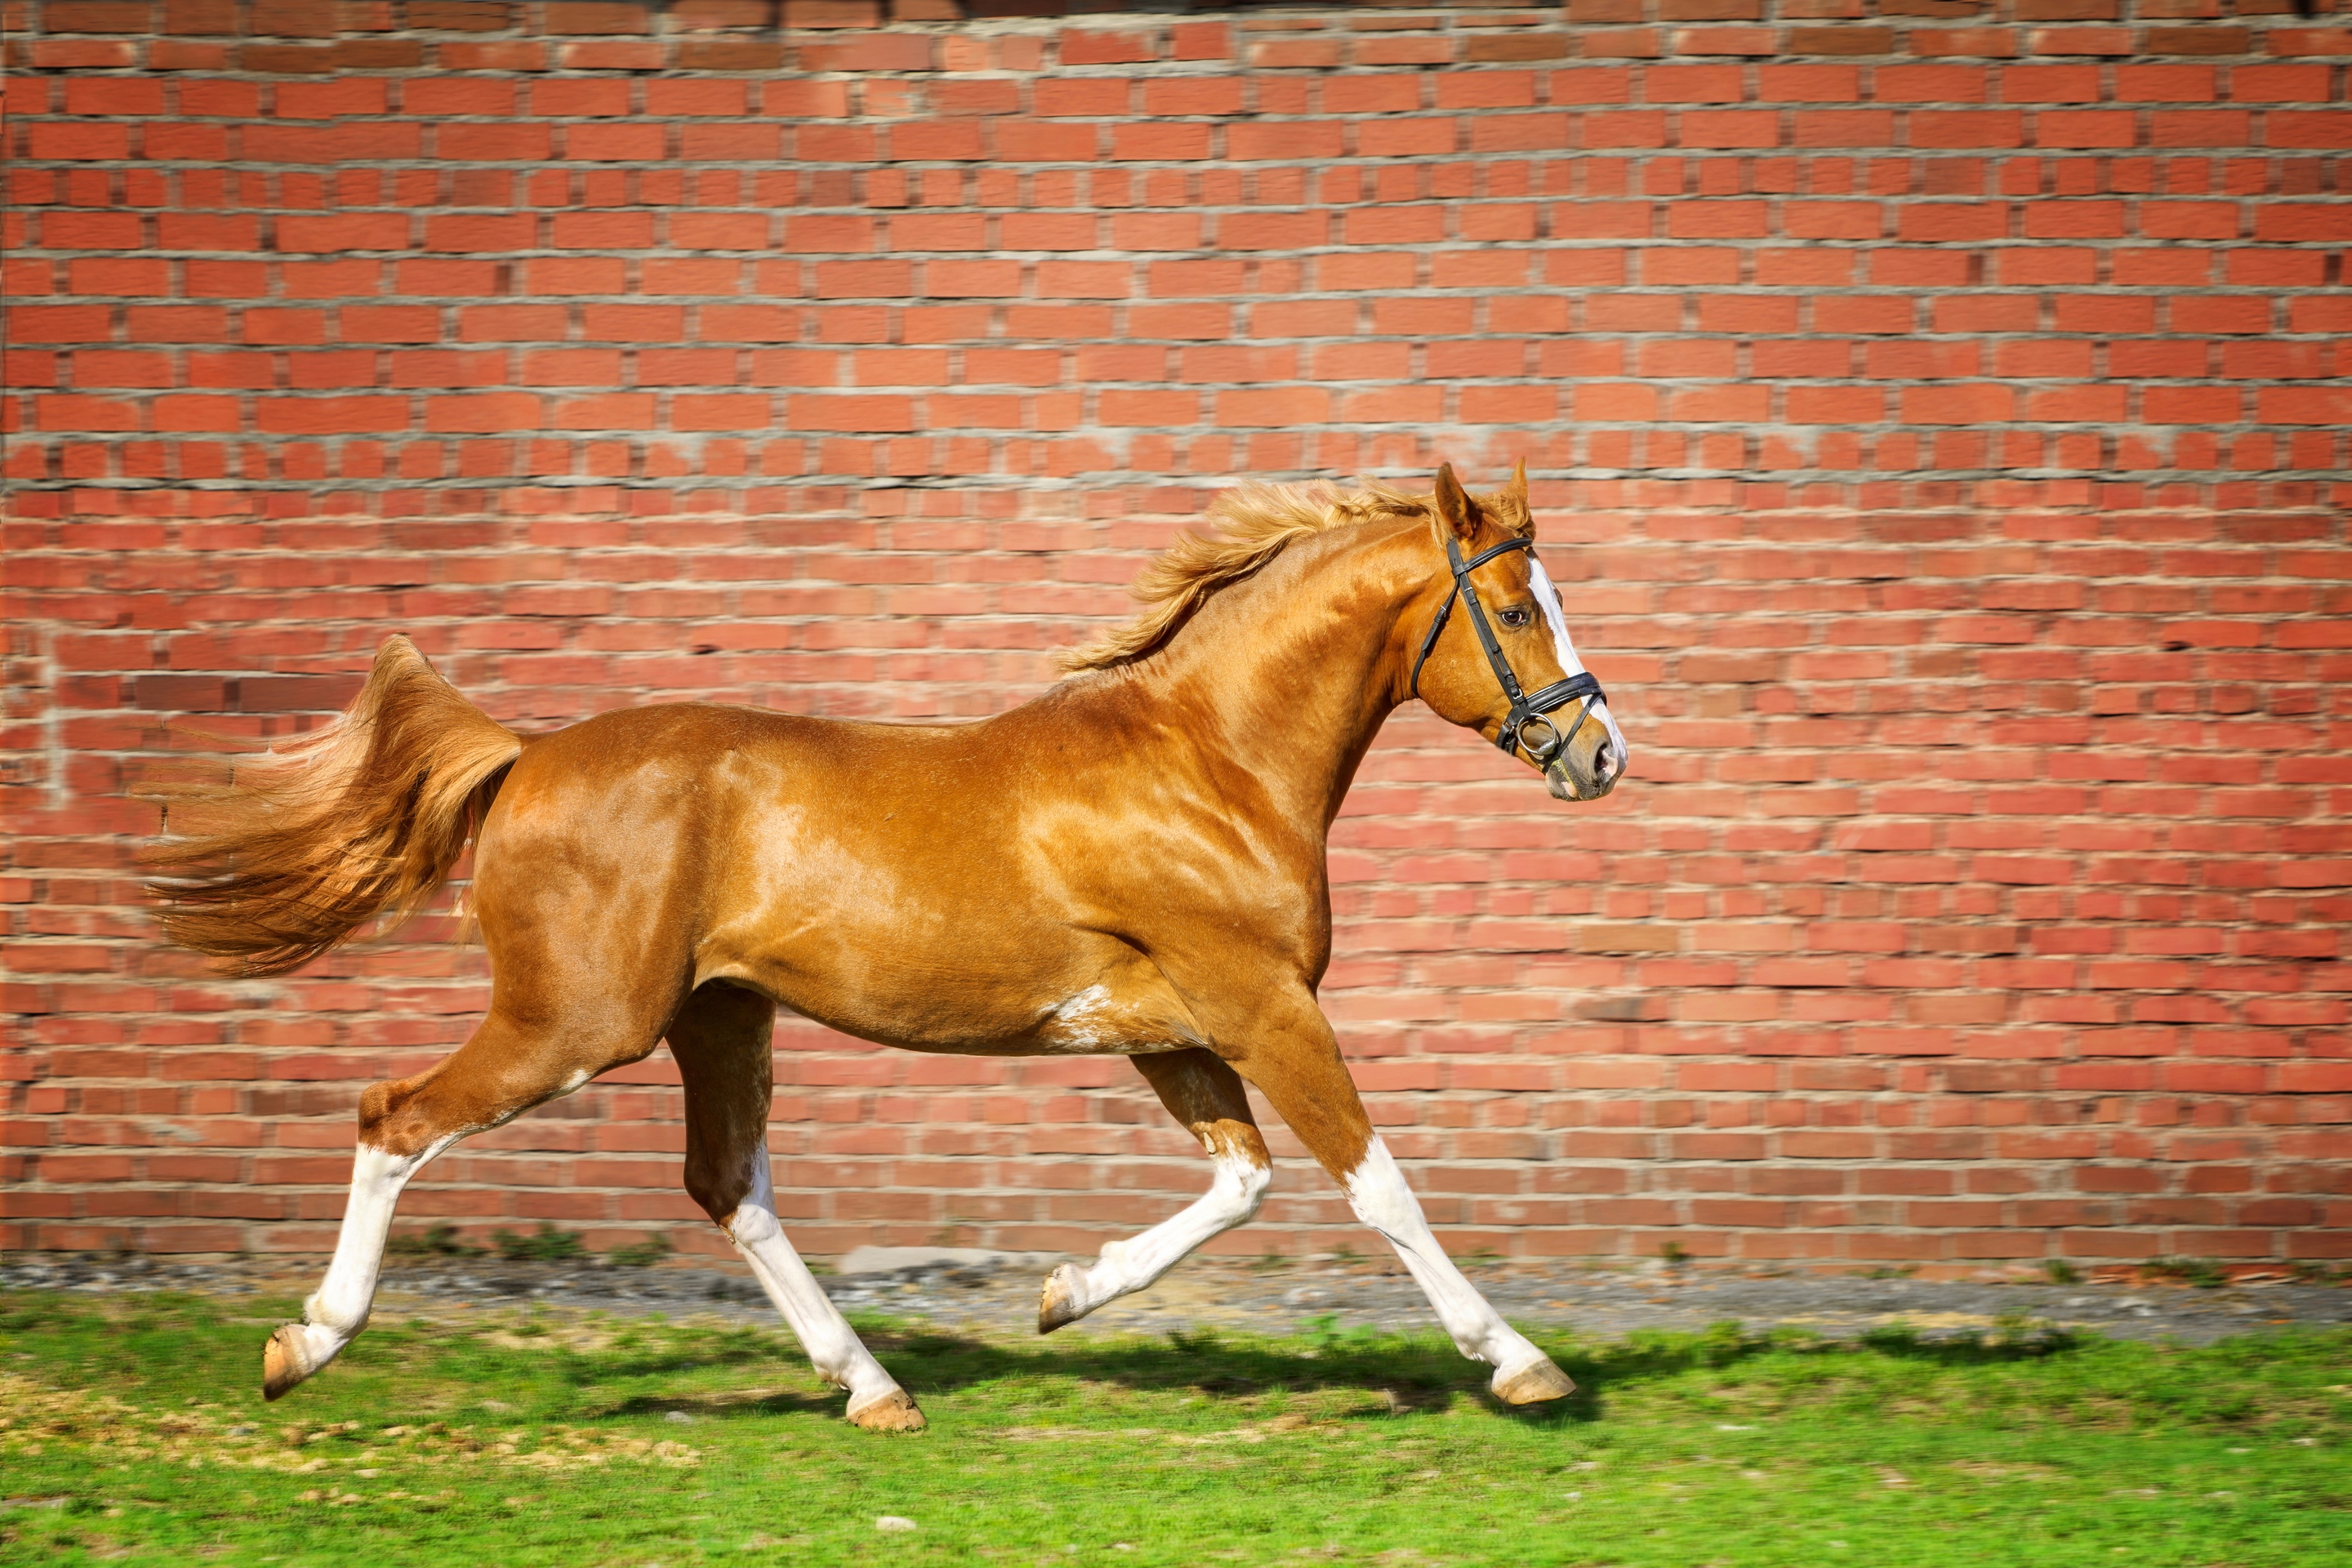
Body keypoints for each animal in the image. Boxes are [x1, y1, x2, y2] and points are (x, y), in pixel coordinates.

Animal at [142, 461, 1618, 1429]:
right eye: (1519, 608)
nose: (1599, 753)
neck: (1208, 764)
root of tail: (526, 757)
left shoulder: (1176, 1032)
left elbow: (1242, 1186)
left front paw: (1064, 1294)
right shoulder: (1261, 1006)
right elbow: (1377, 1186)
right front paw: (1524, 1364)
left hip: (718, 1017)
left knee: (727, 1185)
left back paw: (872, 1388)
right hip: (575, 1025)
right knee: (395, 1117)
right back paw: (303, 1346)